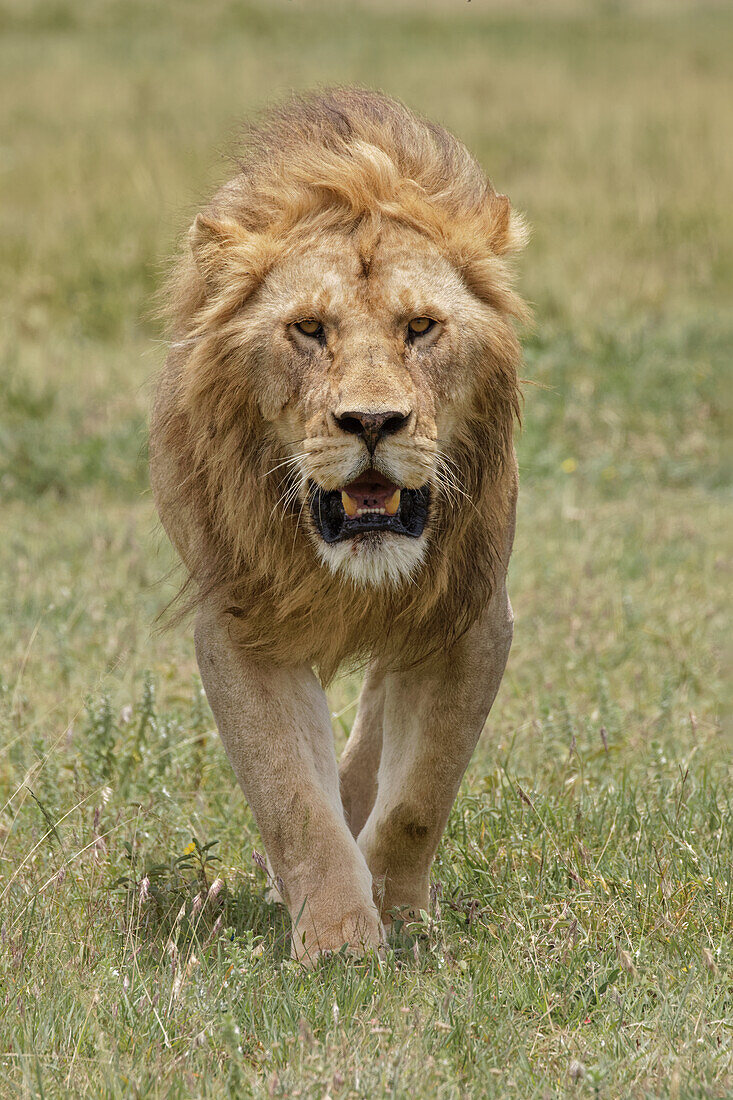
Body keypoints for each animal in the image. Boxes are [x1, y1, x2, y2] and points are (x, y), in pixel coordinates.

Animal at [149, 88, 526, 963]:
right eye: (310, 329)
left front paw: (398, 911)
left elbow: (422, 790)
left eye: (419, 328)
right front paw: (338, 937)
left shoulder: (471, 617)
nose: (373, 421)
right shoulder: (243, 627)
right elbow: (292, 798)